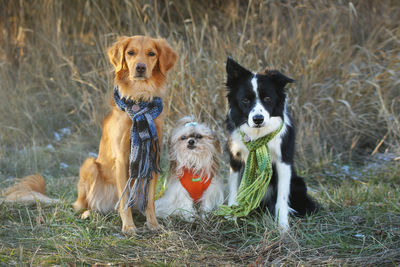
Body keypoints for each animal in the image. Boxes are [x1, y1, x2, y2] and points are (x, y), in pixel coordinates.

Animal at [73, 36, 177, 234]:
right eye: (131, 53)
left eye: (151, 53)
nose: (140, 67)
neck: (139, 99)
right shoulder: (122, 158)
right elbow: (125, 200)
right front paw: (128, 227)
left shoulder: (152, 156)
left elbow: (149, 200)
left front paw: (153, 224)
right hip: (89, 165)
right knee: (86, 203)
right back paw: (89, 213)